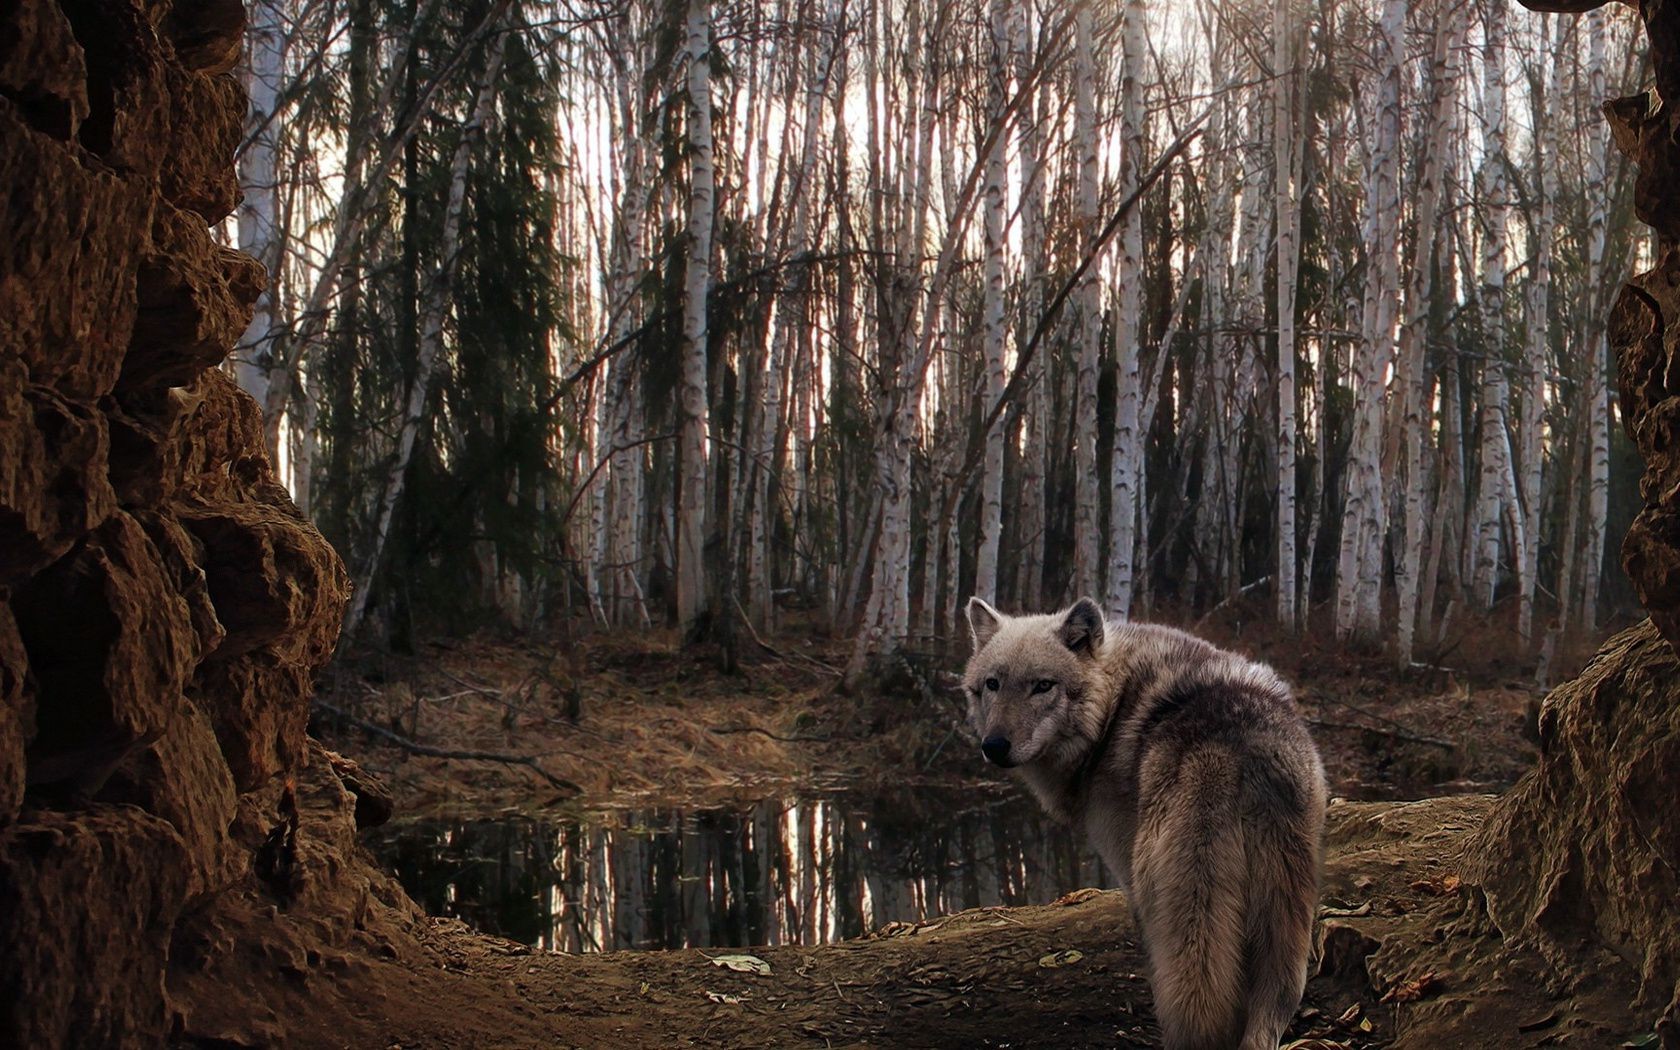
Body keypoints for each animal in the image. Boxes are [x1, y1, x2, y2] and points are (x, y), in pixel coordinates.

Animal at [960, 594, 1323, 1041]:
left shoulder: (1126, 871)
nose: (994, 746)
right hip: (1284, 924)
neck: (1112, 710)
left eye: (1043, 686)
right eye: (992, 684)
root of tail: (1229, 748)